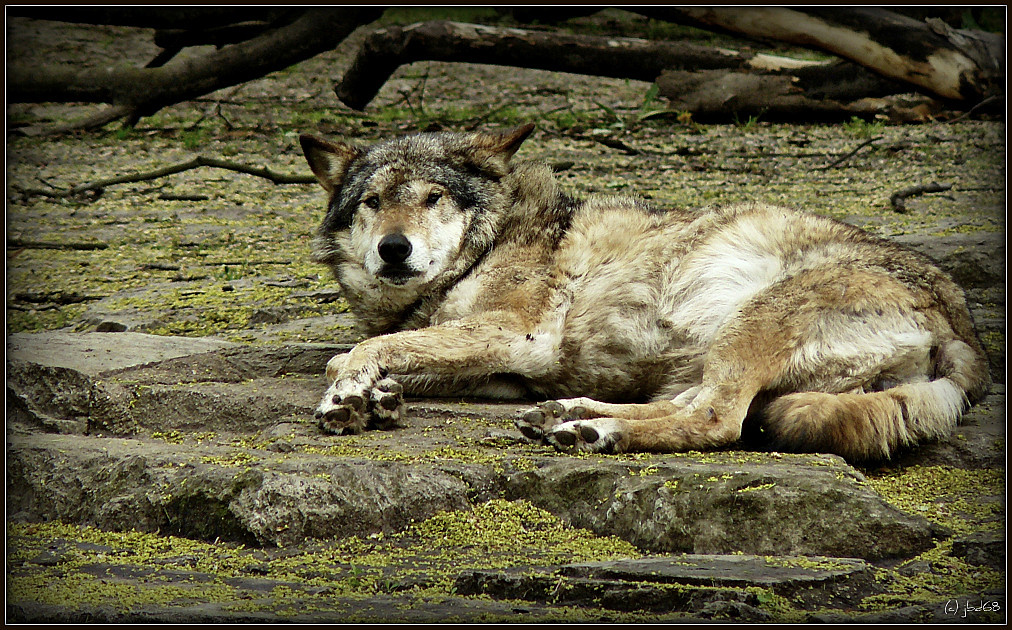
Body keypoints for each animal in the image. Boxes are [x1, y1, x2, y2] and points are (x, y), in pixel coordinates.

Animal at [297, 123, 987, 461]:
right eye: (372, 202)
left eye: (433, 198)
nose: (394, 249)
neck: (486, 245)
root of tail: (965, 336)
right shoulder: (499, 367)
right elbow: (366, 353)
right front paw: (376, 395)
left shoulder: (517, 337)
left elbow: (358, 353)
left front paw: (351, 399)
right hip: (704, 360)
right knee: (695, 406)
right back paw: (570, 418)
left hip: (751, 325)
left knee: (718, 422)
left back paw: (597, 434)